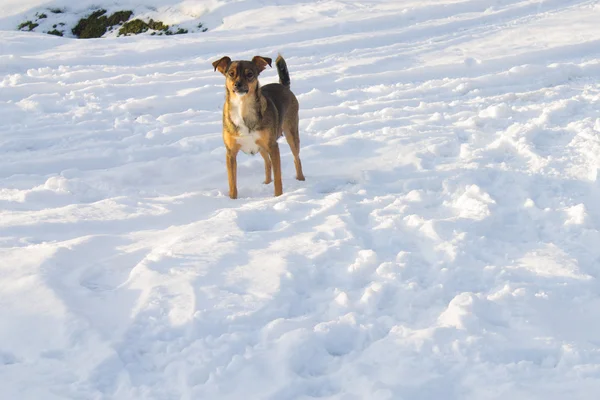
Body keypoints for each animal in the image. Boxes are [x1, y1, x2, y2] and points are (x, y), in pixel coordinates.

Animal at [212, 54, 304, 198]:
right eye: (231, 74)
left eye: (250, 74)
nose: (238, 84)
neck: (243, 107)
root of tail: (284, 87)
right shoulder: (231, 153)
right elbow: (232, 182)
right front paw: (232, 199)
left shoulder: (273, 146)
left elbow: (278, 178)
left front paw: (278, 197)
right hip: (261, 146)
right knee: (267, 163)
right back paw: (266, 182)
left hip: (291, 133)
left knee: (296, 158)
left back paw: (301, 180)